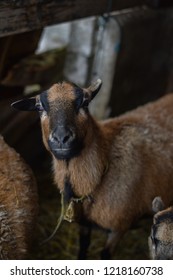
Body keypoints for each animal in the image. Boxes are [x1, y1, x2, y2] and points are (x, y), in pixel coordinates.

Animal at [11, 80, 173, 260]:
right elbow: (83, 246)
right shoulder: (84, 223)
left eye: (85, 103)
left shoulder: (119, 227)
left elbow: (105, 255)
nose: (61, 138)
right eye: (39, 108)